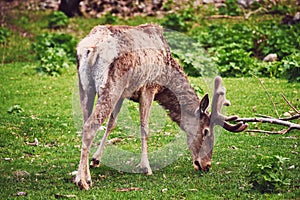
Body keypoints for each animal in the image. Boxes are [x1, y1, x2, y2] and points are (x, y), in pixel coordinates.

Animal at [74, 23, 247, 189]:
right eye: (206, 131)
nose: (207, 165)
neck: (166, 79)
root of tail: (90, 48)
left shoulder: (124, 93)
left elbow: (112, 123)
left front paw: (96, 159)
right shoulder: (149, 87)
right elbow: (144, 128)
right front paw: (146, 167)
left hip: (85, 86)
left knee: (85, 123)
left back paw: (84, 176)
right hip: (111, 86)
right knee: (90, 125)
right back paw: (82, 181)